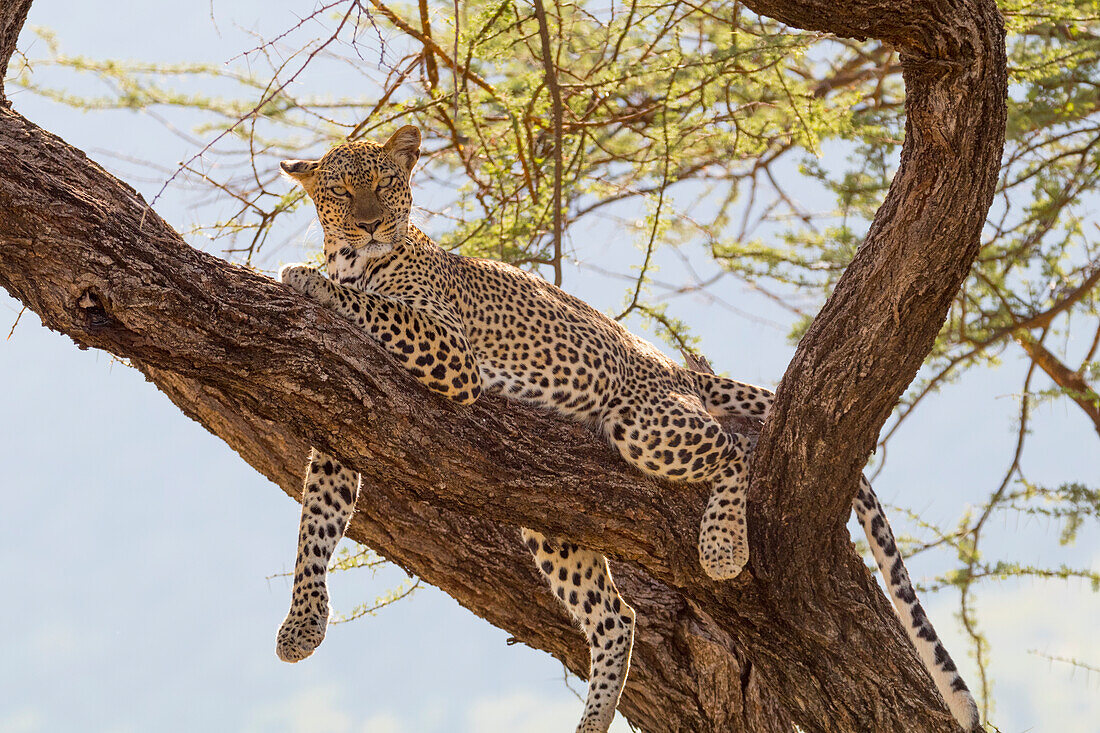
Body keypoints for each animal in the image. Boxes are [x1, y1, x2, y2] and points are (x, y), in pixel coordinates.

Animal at [272, 122, 981, 726]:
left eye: (386, 184)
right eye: (343, 192)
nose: (371, 224)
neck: (356, 259)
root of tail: (673, 365)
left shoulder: (449, 349)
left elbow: (370, 304)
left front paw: (304, 276)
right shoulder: (345, 419)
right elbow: (316, 522)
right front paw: (302, 626)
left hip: (643, 426)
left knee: (734, 448)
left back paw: (723, 545)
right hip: (552, 515)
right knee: (616, 618)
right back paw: (593, 718)